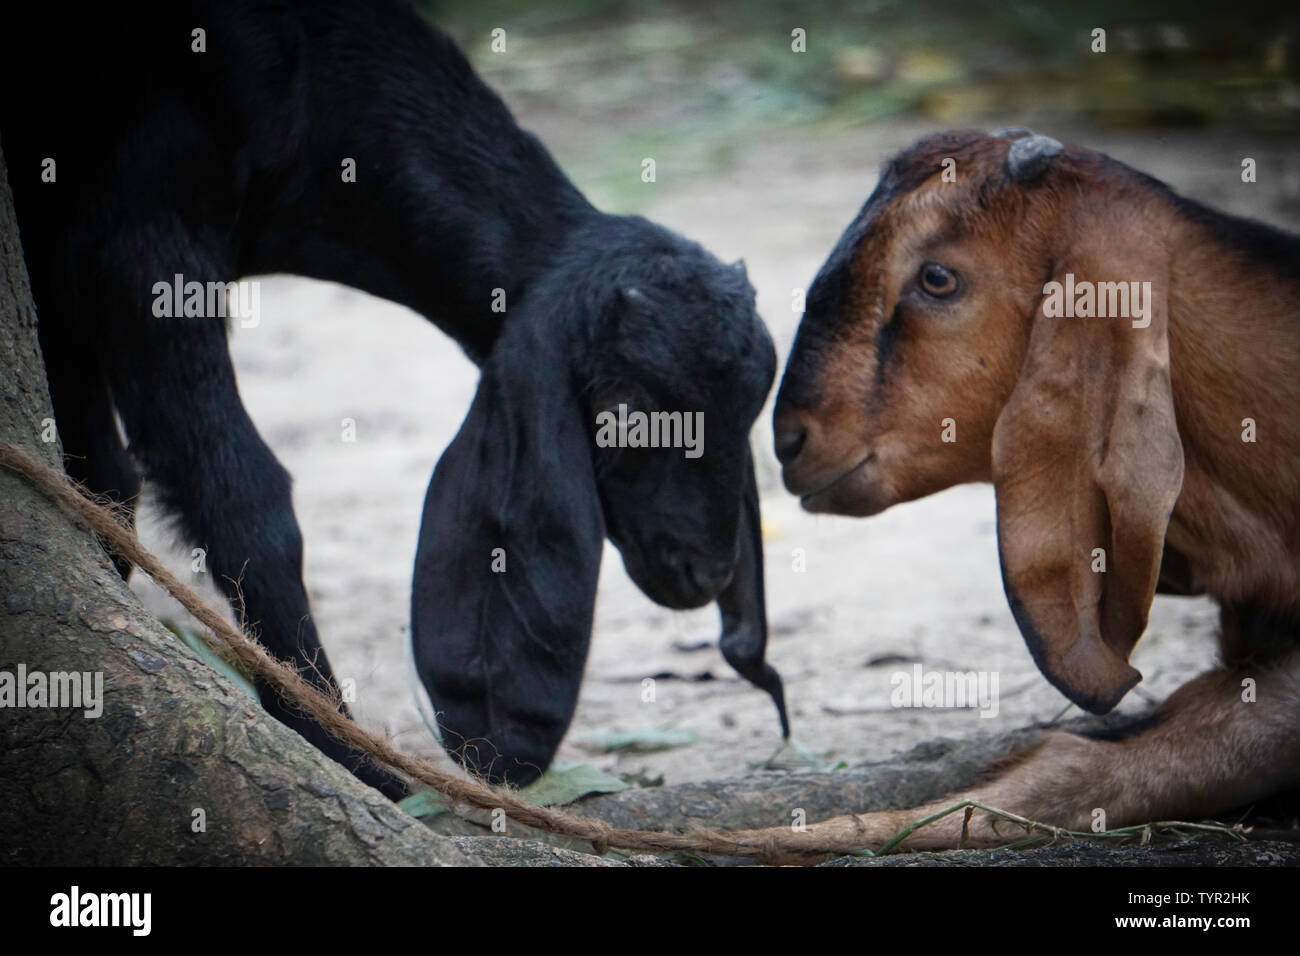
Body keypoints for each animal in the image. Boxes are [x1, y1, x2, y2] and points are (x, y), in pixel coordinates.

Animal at [2, 0, 787, 796]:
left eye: (750, 414)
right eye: (622, 408)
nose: (707, 572)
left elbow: (100, 476)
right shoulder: (136, 232)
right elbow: (243, 495)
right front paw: (349, 757)